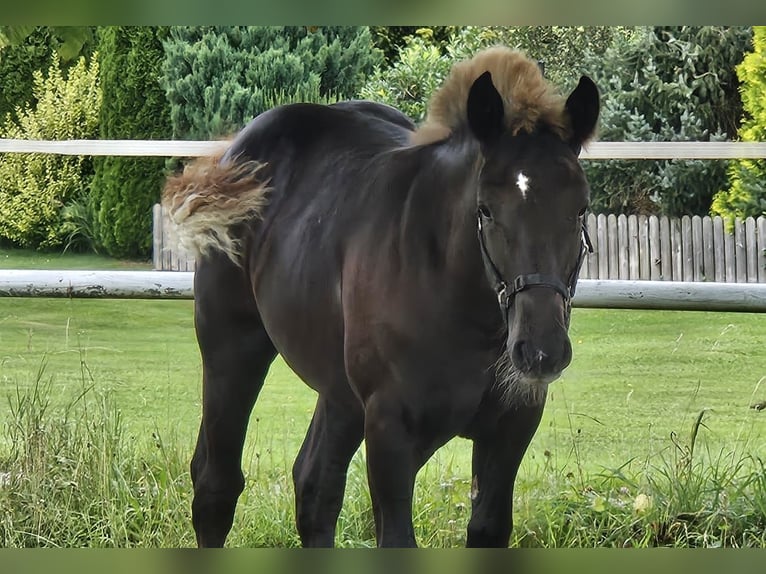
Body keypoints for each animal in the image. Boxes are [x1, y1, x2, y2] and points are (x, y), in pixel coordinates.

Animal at [164, 48, 600, 548]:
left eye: (580, 209)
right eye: (486, 209)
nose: (541, 350)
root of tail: (235, 153)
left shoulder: (512, 428)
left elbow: (487, 529)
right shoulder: (391, 432)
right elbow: (395, 538)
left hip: (340, 392)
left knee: (315, 487)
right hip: (232, 349)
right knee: (216, 484)